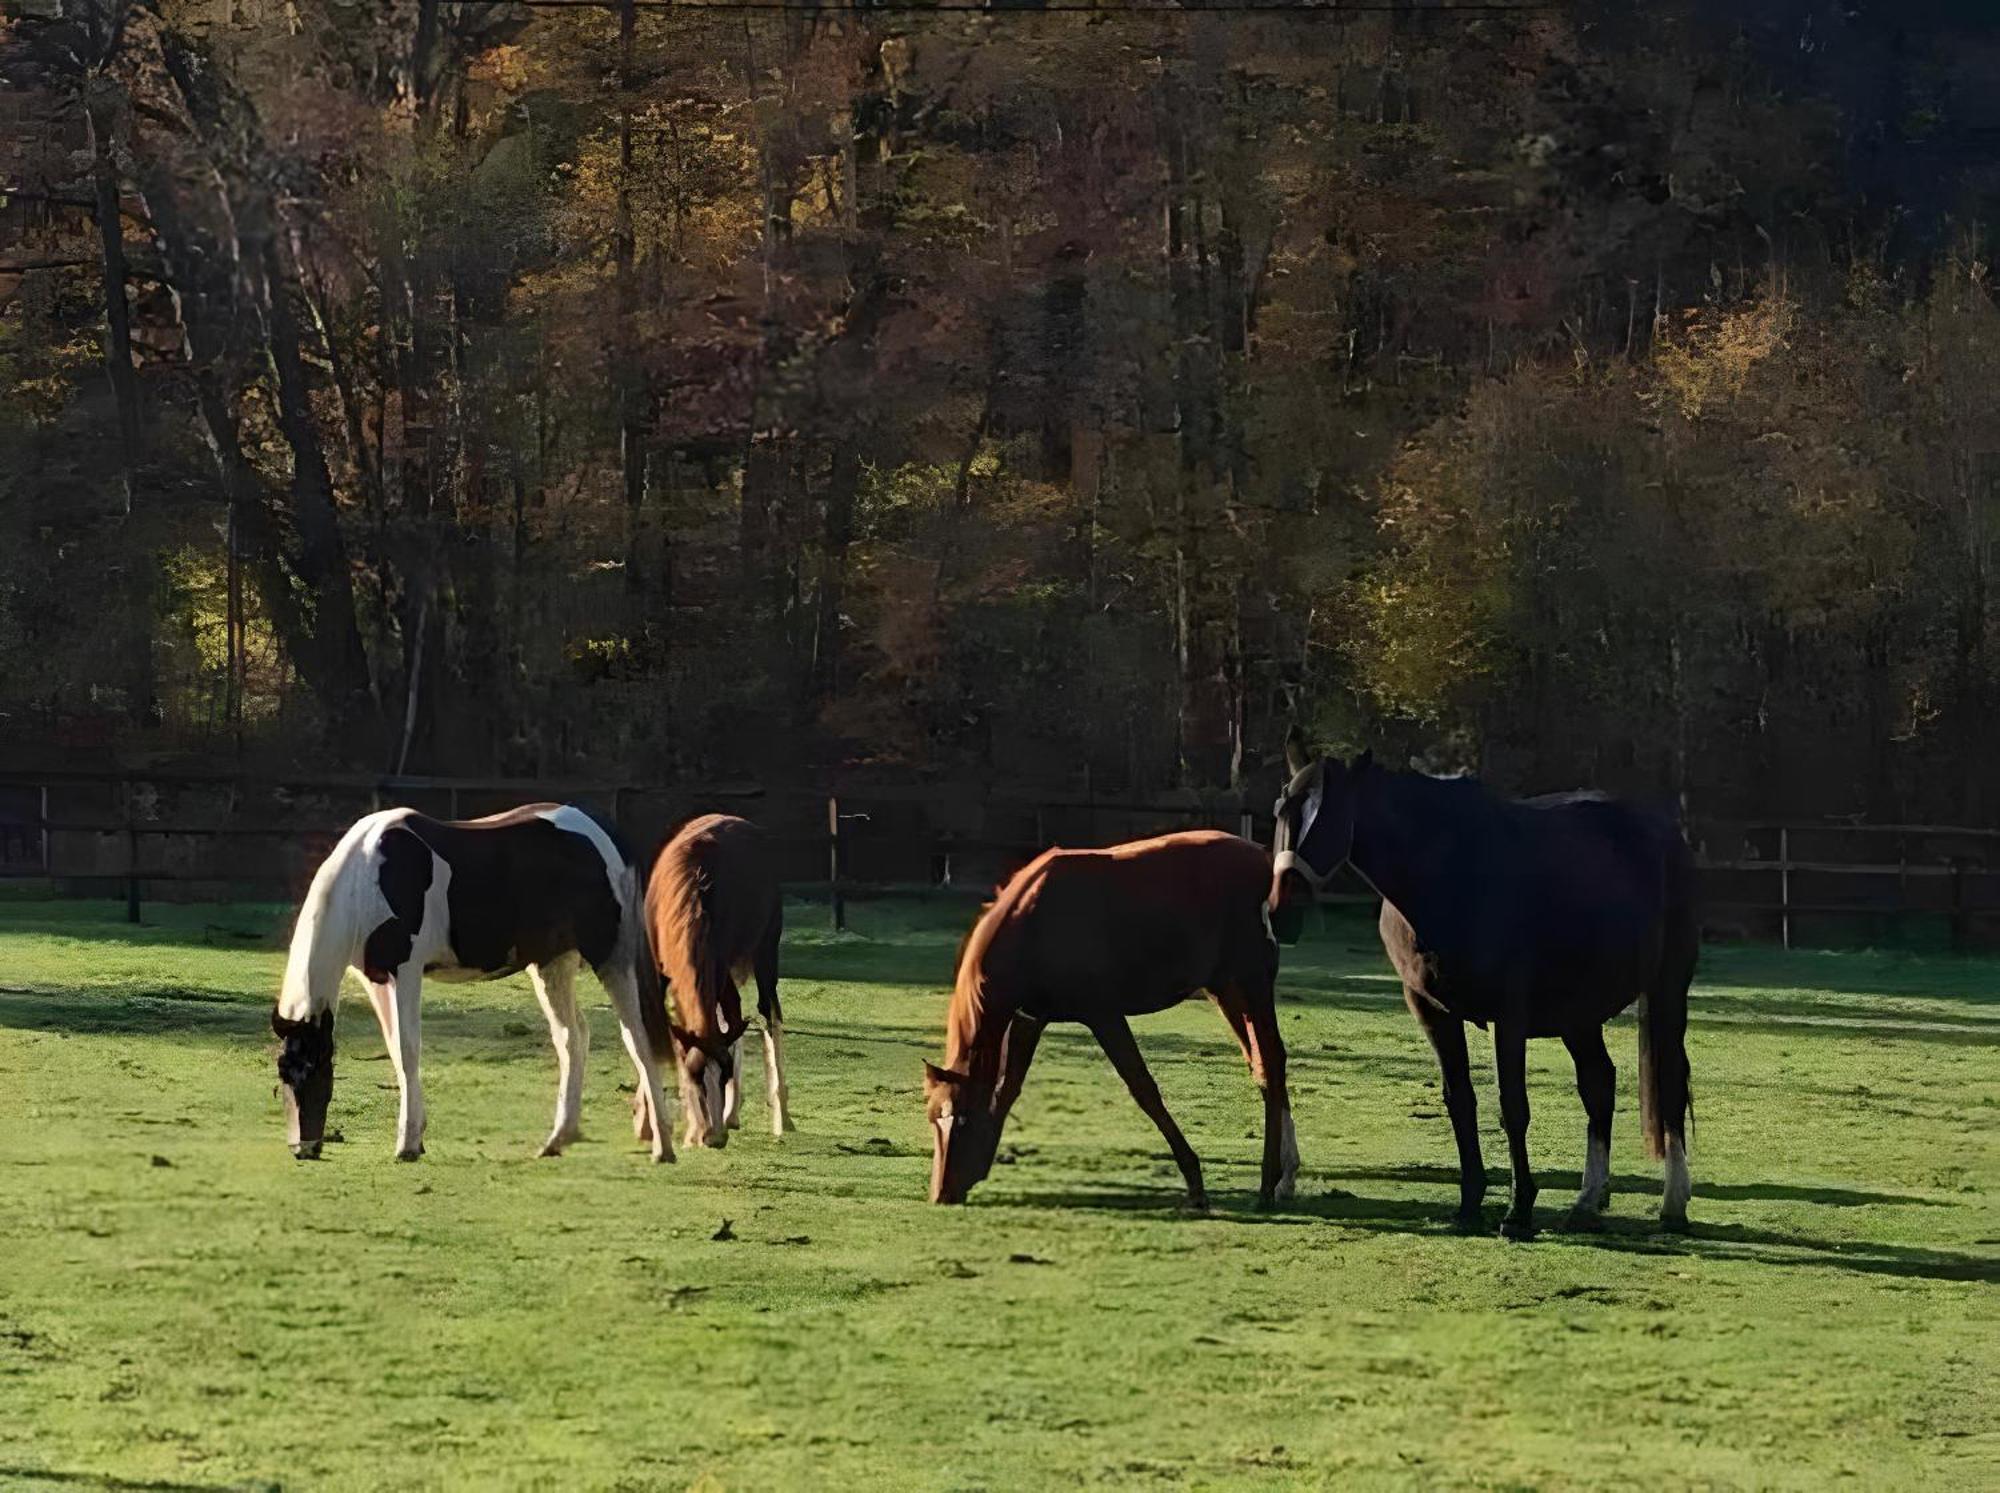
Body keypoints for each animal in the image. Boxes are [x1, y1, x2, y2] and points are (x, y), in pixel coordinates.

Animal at [270, 804, 676, 1160]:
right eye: (284, 1078)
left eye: (316, 1073)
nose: (303, 1149)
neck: (369, 875)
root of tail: (607, 836)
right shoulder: (377, 980)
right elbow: (397, 1051)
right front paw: (416, 1137)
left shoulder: (406, 971)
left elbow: (408, 1049)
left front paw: (407, 1145)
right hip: (552, 964)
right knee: (571, 1039)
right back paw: (558, 1139)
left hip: (611, 959)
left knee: (638, 1039)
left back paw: (663, 1146)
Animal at [648, 808, 788, 1144]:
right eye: (694, 1075)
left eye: (723, 1077)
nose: (714, 1138)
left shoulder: (720, 965)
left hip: (764, 949)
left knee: (768, 1013)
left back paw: (781, 1117)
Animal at [920, 824, 1296, 1208]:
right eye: (934, 1118)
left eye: (963, 1120)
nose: (942, 1193)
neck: (1034, 924)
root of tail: (1259, 859)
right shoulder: (1030, 1019)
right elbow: (1007, 1089)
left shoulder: (1104, 1015)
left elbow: (1143, 1088)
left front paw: (1195, 1181)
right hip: (1226, 990)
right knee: (1262, 1065)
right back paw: (1283, 1176)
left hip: (1251, 984)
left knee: (1270, 1062)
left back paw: (1268, 1184)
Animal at [1264, 732, 1688, 1232]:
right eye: (1282, 809)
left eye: (1330, 816)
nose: (1281, 914)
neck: (1447, 876)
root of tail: (1663, 830)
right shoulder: (1432, 1011)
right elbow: (1460, 1102)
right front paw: (1469, 1204)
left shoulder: (1510, 1016)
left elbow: (1513, 1107)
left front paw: (1518, 1211)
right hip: (1578, 1015)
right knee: (1598, 1084)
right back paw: (1587, 1201)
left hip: (1667, 990)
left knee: (1671, 1081)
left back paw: (1674, 1203)